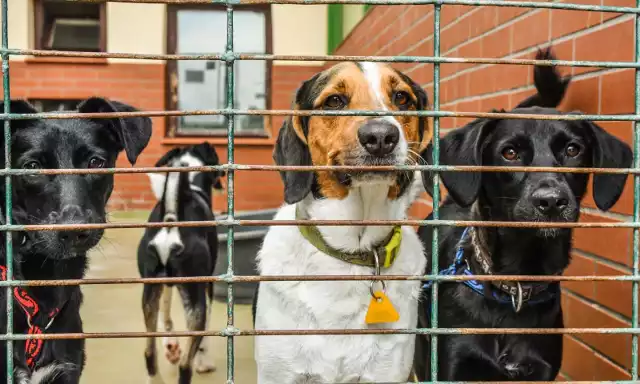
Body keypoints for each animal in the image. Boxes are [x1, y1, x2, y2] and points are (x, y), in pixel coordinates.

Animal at [136, 142, 224, 384]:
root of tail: (172, 218)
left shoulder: (164, 284)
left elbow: (165, 317)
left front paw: (171, 346)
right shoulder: (207, 287)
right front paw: (204, 362)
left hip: (150, 290)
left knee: (149, 352)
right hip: (195, 297)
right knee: (185, 365)